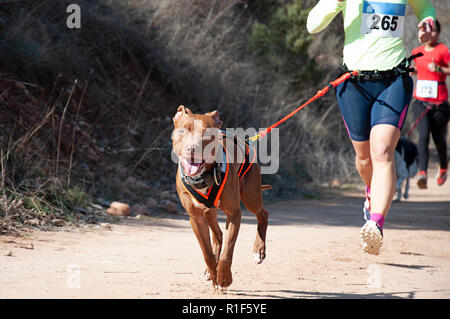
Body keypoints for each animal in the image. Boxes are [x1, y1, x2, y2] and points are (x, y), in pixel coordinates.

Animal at [171, 105, 268, 290]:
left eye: (207, 133)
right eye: (182, 130)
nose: (192, 149)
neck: (203, 177)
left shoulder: (234, 214)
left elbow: (228, 251)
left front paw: (224, 278)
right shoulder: (196, 218)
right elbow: (207, 252)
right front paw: (213, 273)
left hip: (251, 196)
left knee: (263, 214)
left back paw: (258, 251)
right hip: (209, 212)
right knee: (217, 235)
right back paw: (210, 271)